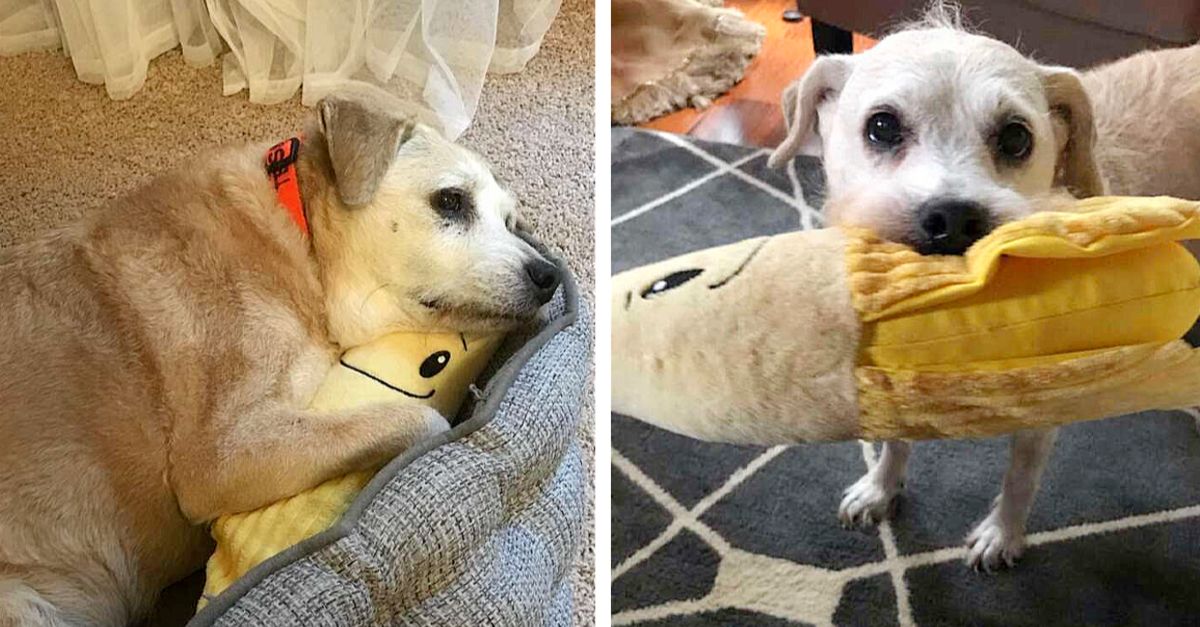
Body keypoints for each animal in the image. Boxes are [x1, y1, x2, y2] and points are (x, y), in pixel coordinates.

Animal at [0, 84, 556, 624]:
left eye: (511, 221)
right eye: (450, 200)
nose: (549, 276)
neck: (302, 246)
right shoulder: (220, 457)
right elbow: (419, 421)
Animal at [768, 3, 1200, 571]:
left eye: (1016, 137)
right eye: (882, 126)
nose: (951, 219)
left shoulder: (1042, 410)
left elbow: (1020, 478)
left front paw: (1002, 534)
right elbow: (894, 442)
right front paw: (881, 488)